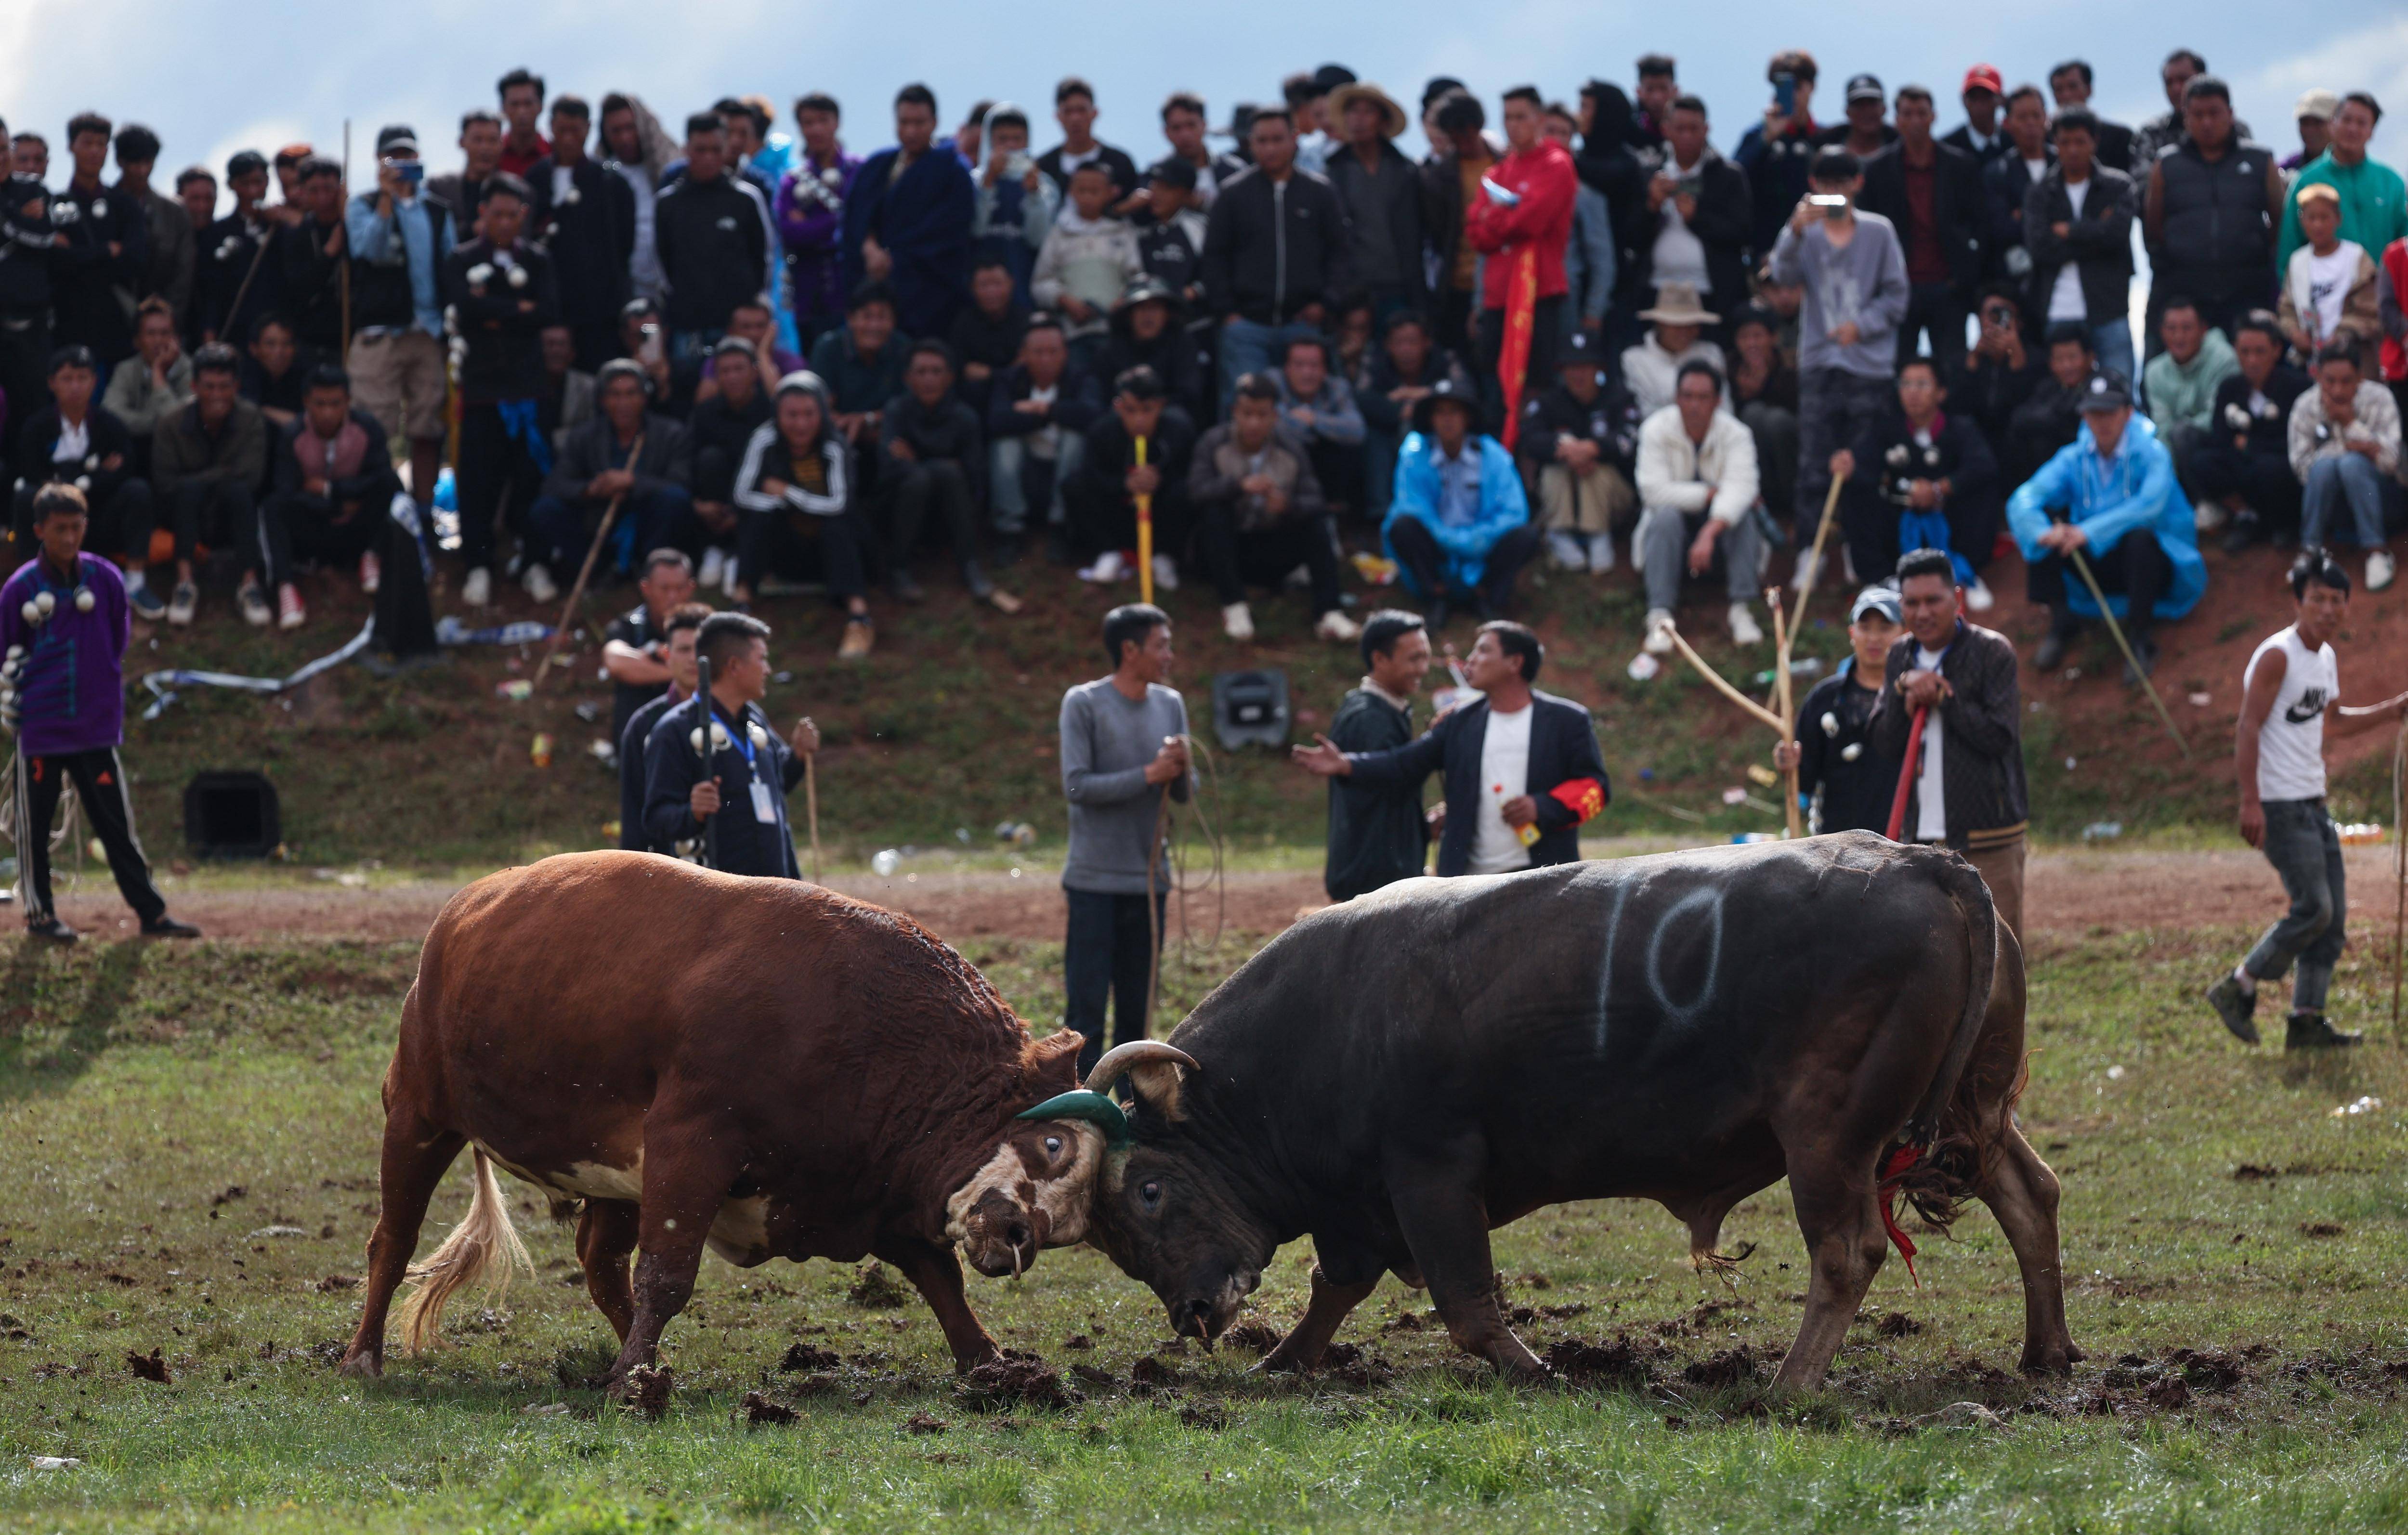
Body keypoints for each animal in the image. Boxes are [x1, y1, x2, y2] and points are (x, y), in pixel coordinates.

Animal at [342, 856, 1108, 1395]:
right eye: (1051, 1143)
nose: (1020, 1237)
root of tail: (461, 911)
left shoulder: (879, 1181)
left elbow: (937, 1275)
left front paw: (991, 1363)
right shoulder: (689, 1141)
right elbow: (667, 1274)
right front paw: (632, 1387)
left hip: (613, 1176)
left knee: (599, 1260)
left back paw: (628, 1357)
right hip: (417, 1114)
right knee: (393, 1239)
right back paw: (363, 1358)